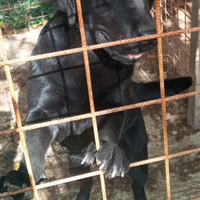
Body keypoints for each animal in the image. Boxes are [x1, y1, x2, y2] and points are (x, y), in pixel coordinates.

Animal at [0, 0, 192, 200]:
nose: (150, 37)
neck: (87, 61)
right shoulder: (42, 112)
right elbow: (32, 145)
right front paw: (22, 177)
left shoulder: (115, 104)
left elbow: (109, 128)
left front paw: (109, 150)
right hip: (75, 165)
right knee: (87, 183)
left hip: (138, 159)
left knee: (137, 185)